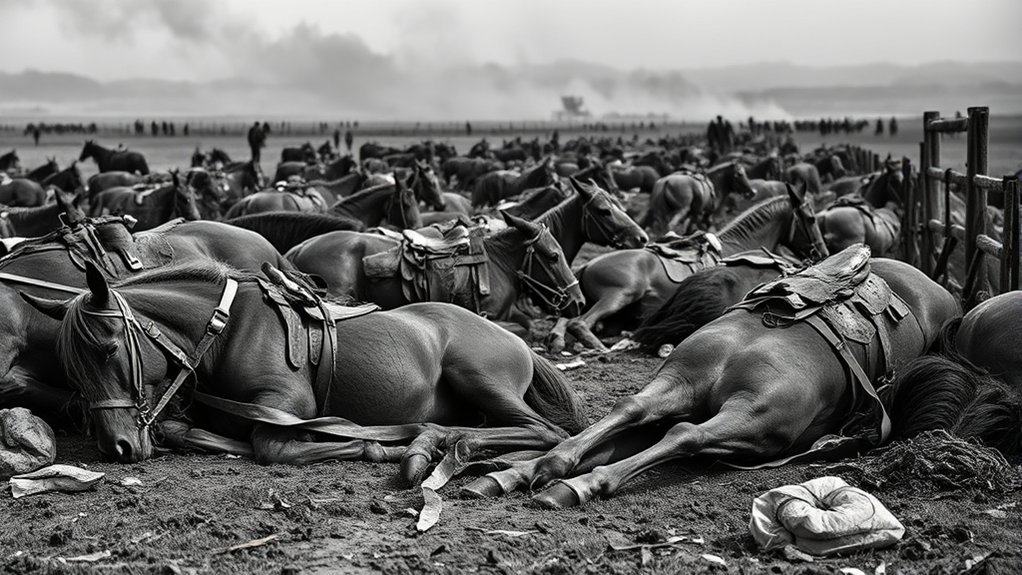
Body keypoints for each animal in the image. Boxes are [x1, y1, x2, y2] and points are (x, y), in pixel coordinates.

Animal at [24, 261, 590, 478]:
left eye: (108, 349)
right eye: (71, 371)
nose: (115, 448)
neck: (226, 332)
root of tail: (515, 339)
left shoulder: (287, 407)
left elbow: (270, 447)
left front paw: (373, 446)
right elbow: (191, 432)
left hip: (479, 378)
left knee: (543, 431)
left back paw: (433, 444)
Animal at [463, 250, 964, 508]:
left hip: (695, 388)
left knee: (640, 413)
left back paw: (531, 473)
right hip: (754, 417)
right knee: (684, 432)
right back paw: (560, 479)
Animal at [546, 187, 829, 353]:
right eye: (812, 219)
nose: (823, 252)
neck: (739, 246)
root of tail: (587, 265)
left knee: (566, 321)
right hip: (622, 293)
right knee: (581, 323)